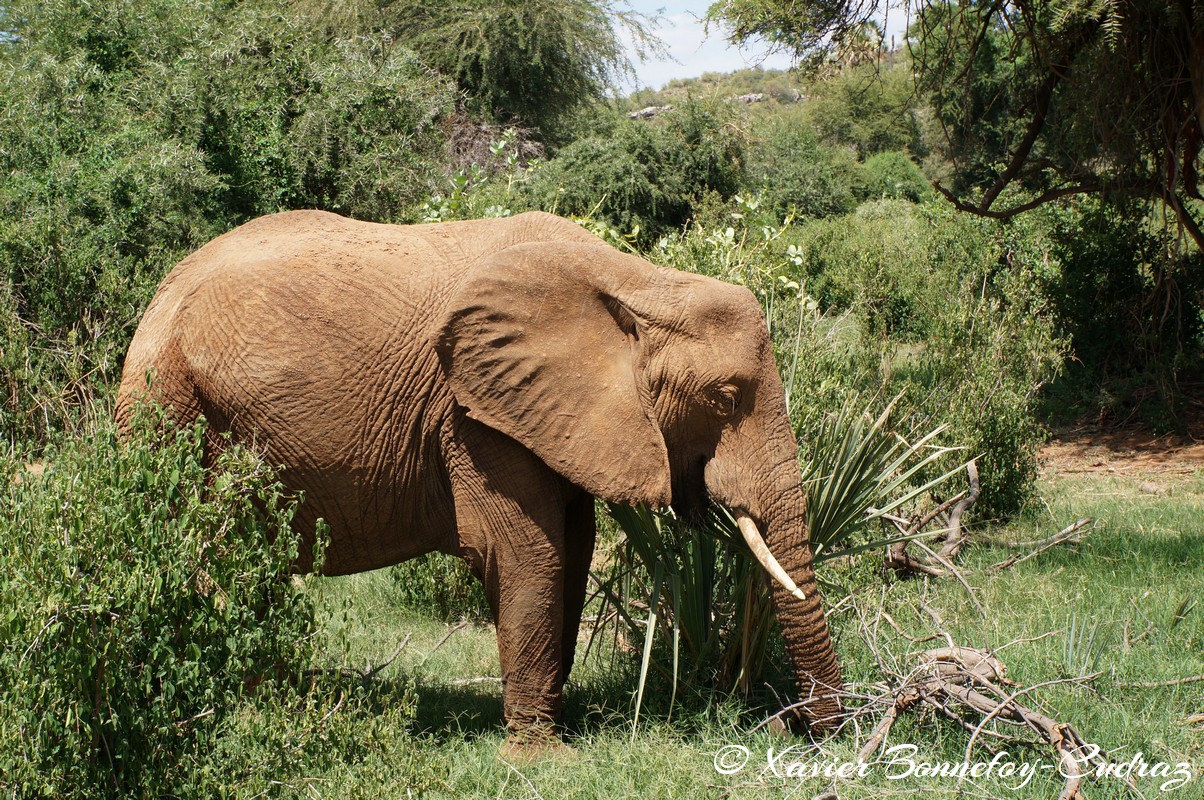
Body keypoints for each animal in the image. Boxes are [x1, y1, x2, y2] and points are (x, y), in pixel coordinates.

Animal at [115, 209, 843, 750]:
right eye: (725, 398)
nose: (792, 725)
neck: (639, 280)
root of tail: (154, 303)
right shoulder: (474, 413)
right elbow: (528, 554)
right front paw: (540, 753)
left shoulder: (544, 412)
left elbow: (574, 549)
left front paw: (550, 725)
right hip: (168, 407)